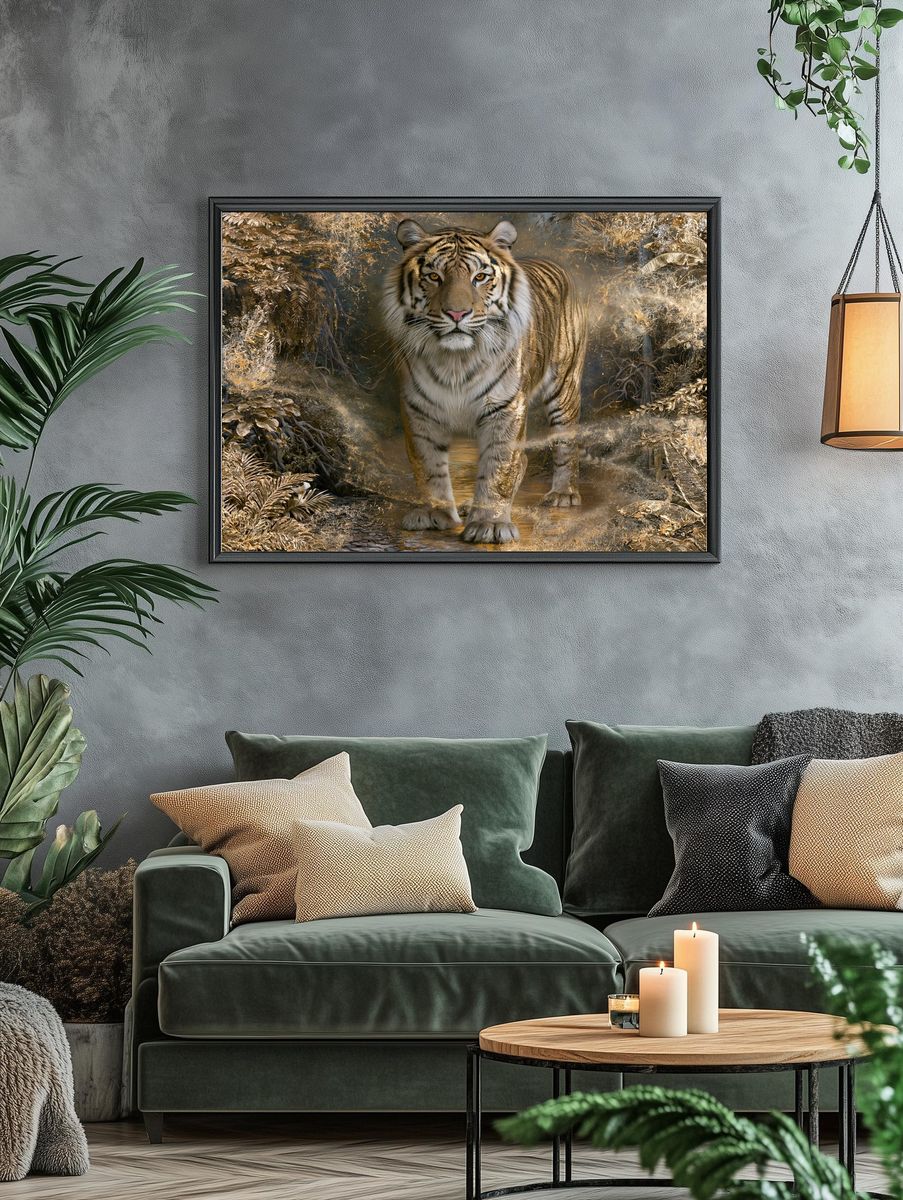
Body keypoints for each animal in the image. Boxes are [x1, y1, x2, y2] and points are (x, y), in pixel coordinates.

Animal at [381, 218, 586, 544]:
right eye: (434, 277)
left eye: (479, 277)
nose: (457, 313)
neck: (456, 361)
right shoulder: (420, 409)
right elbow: (428, 466)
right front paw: (436, 514)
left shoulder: (506, 408)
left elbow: (499, 467)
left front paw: (490, 524)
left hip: (564, 386)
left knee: (564, 441)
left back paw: (563, 494)